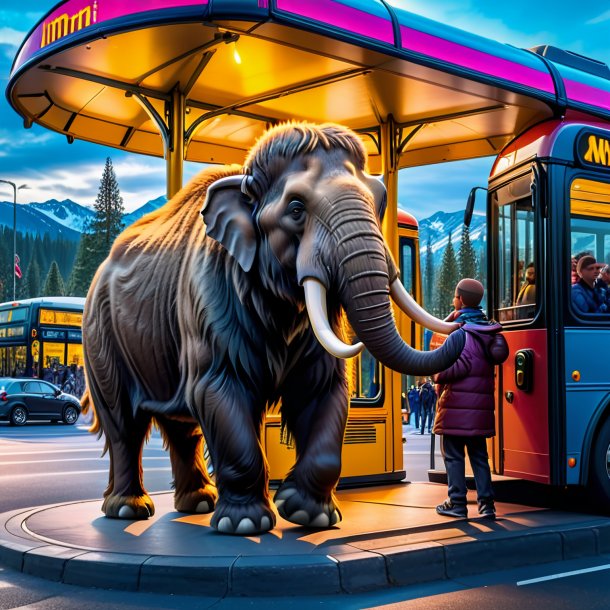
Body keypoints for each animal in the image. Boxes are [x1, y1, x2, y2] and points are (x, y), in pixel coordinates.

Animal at [83, 120, 464, 532]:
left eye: (379, 201)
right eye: (296, 209)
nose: (461, 324)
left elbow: (323, 390)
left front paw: (309, 515)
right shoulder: (209, 300)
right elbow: (219, 389)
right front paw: (244, 525)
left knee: (183, 427)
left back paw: (198, 503)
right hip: (101, 335)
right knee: (124, 422)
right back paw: (129, 509)